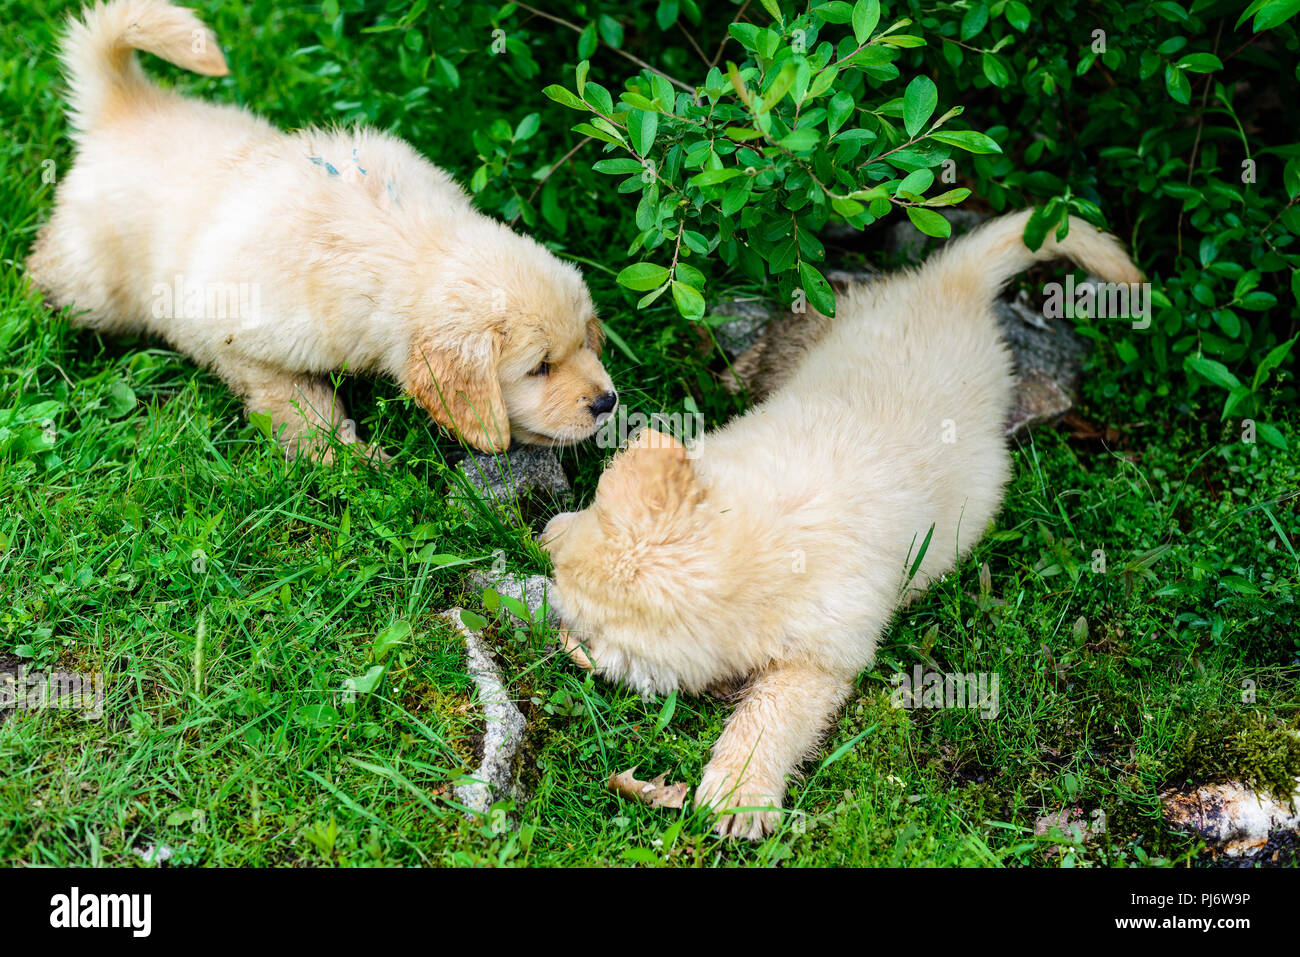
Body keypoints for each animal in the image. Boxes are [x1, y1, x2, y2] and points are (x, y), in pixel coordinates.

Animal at [27, 0, 616, 460]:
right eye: (539, 368)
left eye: (583, 343)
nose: (608, 402)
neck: (401, 244)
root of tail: (125, 107)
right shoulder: (246, 345)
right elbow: (303, 409)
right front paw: (353, 463)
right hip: (96, 287)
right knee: (50, 271)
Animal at [543, 213, 1144, 842]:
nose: (542, 537)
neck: (764, 531)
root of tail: (948, 285)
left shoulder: (822, 657)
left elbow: (771, 713)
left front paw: (739, 792)